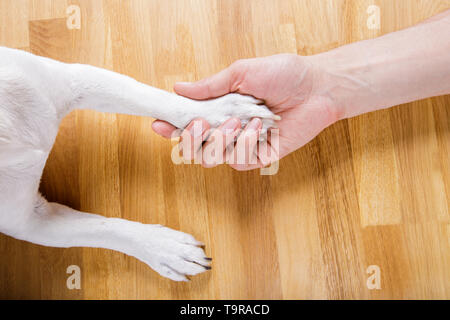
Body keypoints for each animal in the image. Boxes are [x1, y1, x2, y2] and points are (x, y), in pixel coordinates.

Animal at [0, 46, 278, 282]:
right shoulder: (30, 222)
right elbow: (103, 229)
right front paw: (166, 249)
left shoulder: (71, 80)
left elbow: (150, 97)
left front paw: (226, 114)